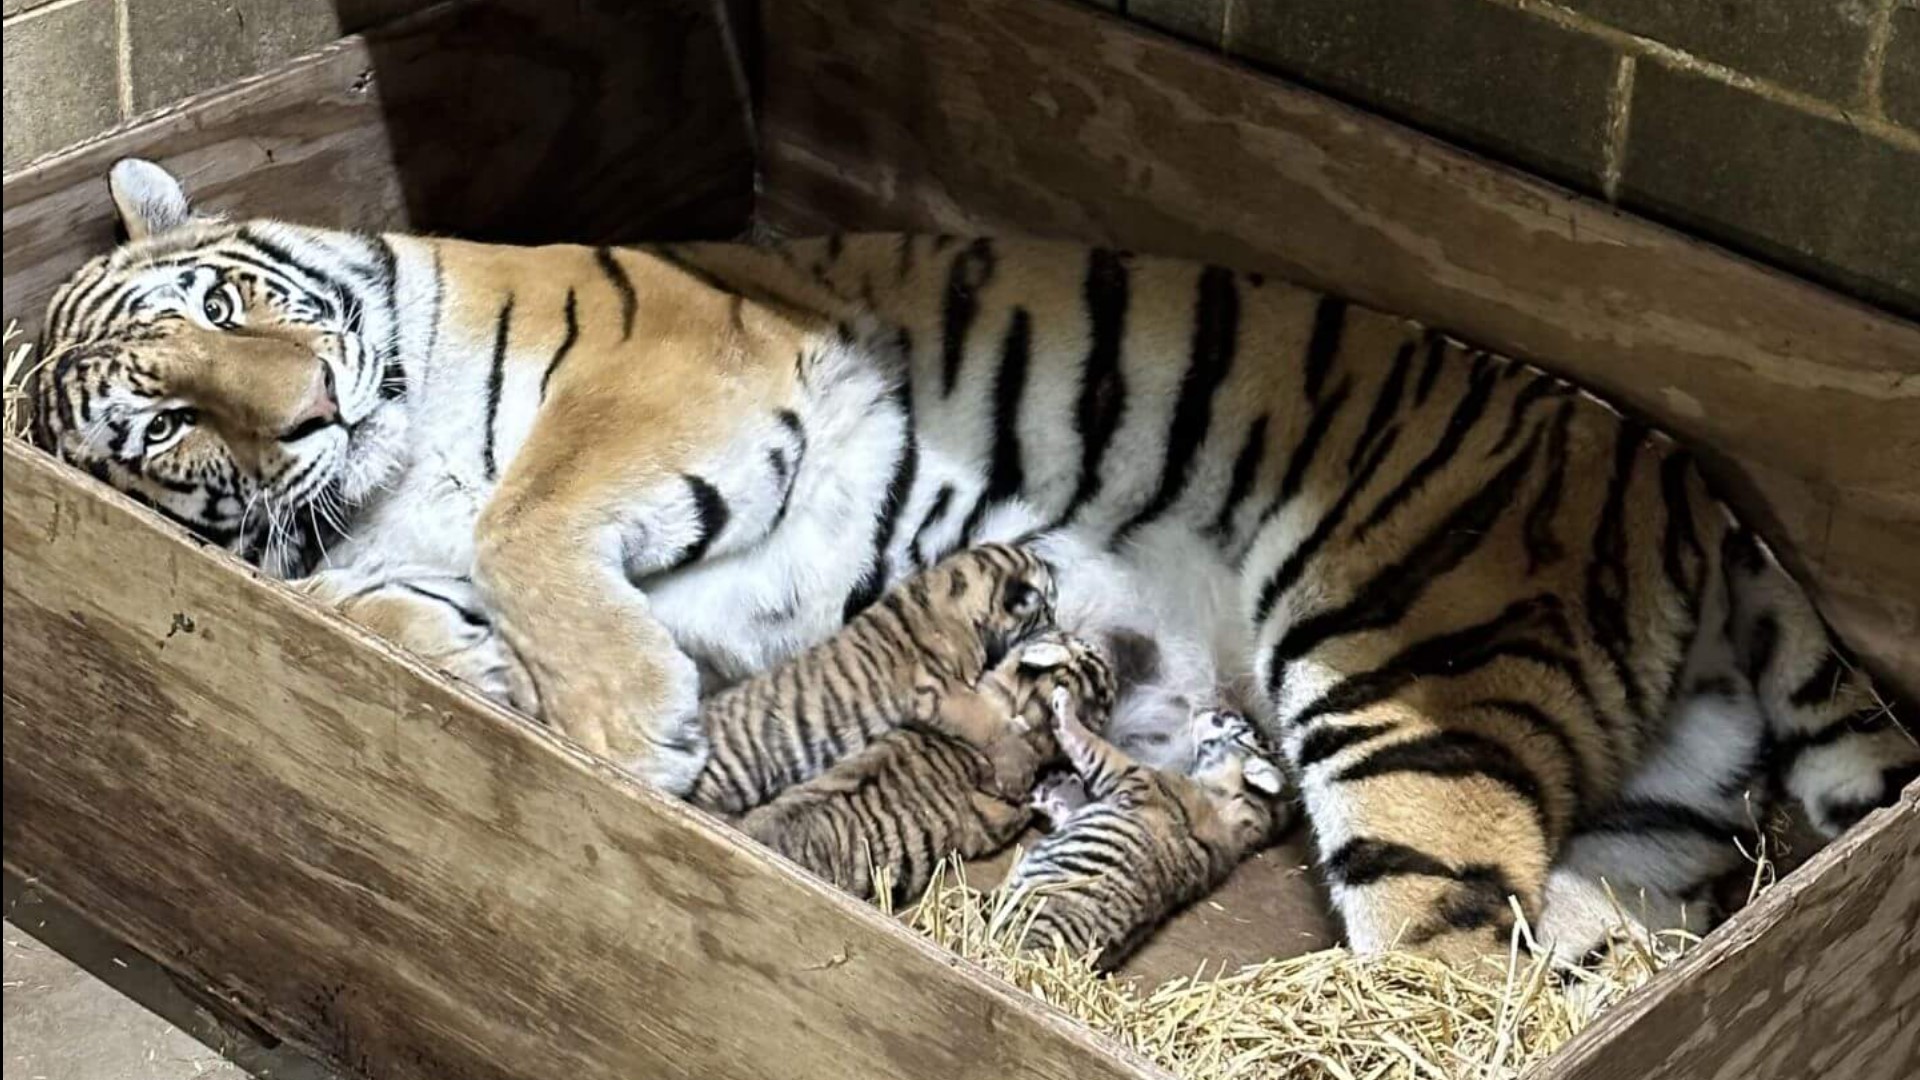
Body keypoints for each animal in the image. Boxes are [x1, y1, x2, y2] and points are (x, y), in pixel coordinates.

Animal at [33, 157, 1920, 957]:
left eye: (227, 305)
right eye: (169, 426)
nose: (308, 413)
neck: (383, 470)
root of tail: (1689, 484)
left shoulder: (685, 372)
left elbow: (527, 522)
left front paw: (625, 732)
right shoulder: (368, 549)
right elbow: (388, 607)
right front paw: (482, 673)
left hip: (1404, 684)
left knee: (1445, 973)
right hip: (1644, 815)